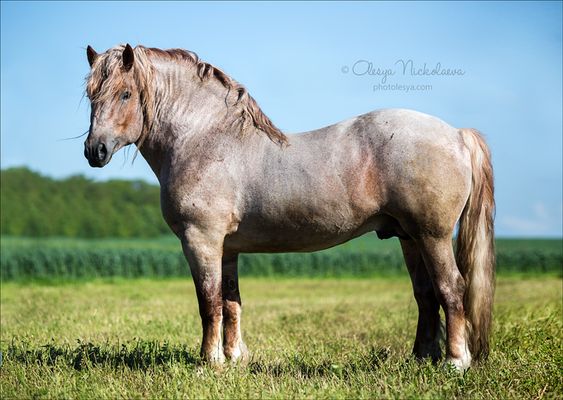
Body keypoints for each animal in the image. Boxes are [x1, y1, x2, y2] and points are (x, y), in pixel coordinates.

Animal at [82, 43, 494, 372]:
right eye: (91, 96)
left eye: (125, 93)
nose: (94, 150)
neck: (205, 139)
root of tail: (457, 135)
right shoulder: (227, 248)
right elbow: (231, 303)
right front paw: (234, 359)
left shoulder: (201, 241)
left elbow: (209, 303)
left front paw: (209, 363)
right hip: (409, 237)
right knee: (426, 296)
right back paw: (422, 359)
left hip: (432, 236)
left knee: (451, 288)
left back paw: (455, 361)